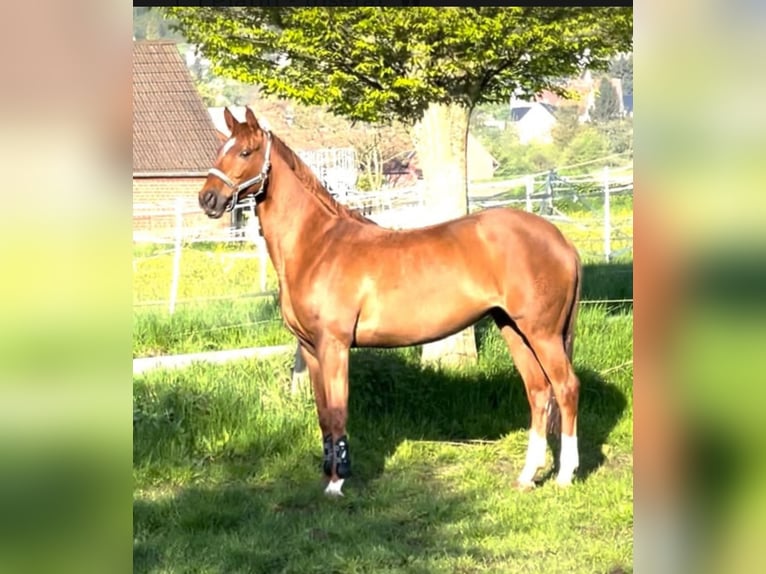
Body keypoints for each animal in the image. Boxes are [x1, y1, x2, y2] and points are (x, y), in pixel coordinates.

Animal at [198, 110, 584, 498]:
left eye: (245, 152)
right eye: (221, 148)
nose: (208, 199)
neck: (318, 246)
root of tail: (561, 241)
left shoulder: (334, 345)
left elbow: (337, 412)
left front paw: (337, 483)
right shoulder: (311, 349)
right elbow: (323, 414)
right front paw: (327, 476)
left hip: (542, 333)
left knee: (565, 387)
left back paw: (565, 475)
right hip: (513, 329)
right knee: (538, 391)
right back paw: (527, 476)